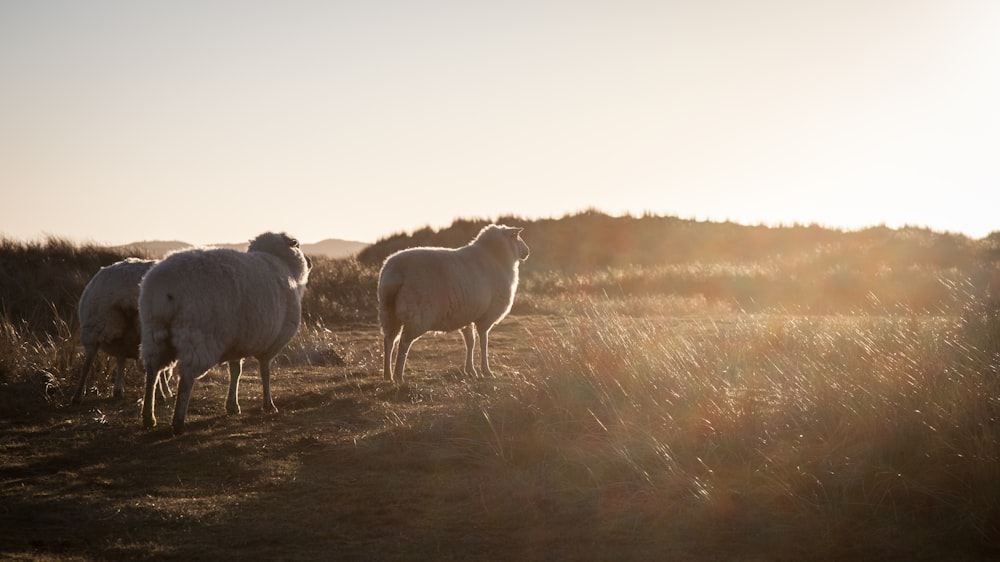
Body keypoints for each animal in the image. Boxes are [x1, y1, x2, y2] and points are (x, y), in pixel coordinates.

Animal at [72, 256, 172, 404]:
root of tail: (124, 293)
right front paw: (166, 390)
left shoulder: (123, 340)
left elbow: (121, 359)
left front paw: (118, 390)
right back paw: (159, 395)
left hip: (95, 323)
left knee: (88, 361)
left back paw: (77, 395)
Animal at [137, 232, 308, 434]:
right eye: (297, 245)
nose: (310, 262)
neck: (282, 262)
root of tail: (167, 286)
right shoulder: (270, 344)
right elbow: (264, 370)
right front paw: (268, 404)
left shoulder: (238, 341)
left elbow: (236, 371)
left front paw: (232, 406)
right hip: (199, 335)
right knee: (186, 378)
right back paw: (178, 422)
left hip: (153, 331)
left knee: (152, 370)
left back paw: (149, 417)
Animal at [376, 223, 532, 380]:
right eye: (516, 236)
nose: (527, 251)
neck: (497, 257)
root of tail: (394, 272)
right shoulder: (486, 316)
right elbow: (483, 342)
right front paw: (486, 370)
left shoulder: (467, 315)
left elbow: (470, 342)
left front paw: (470, 370)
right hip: (417, 316)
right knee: (403, 343)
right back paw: (398, 376)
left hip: (388, 312)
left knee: (389, 341)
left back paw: (387, 374)